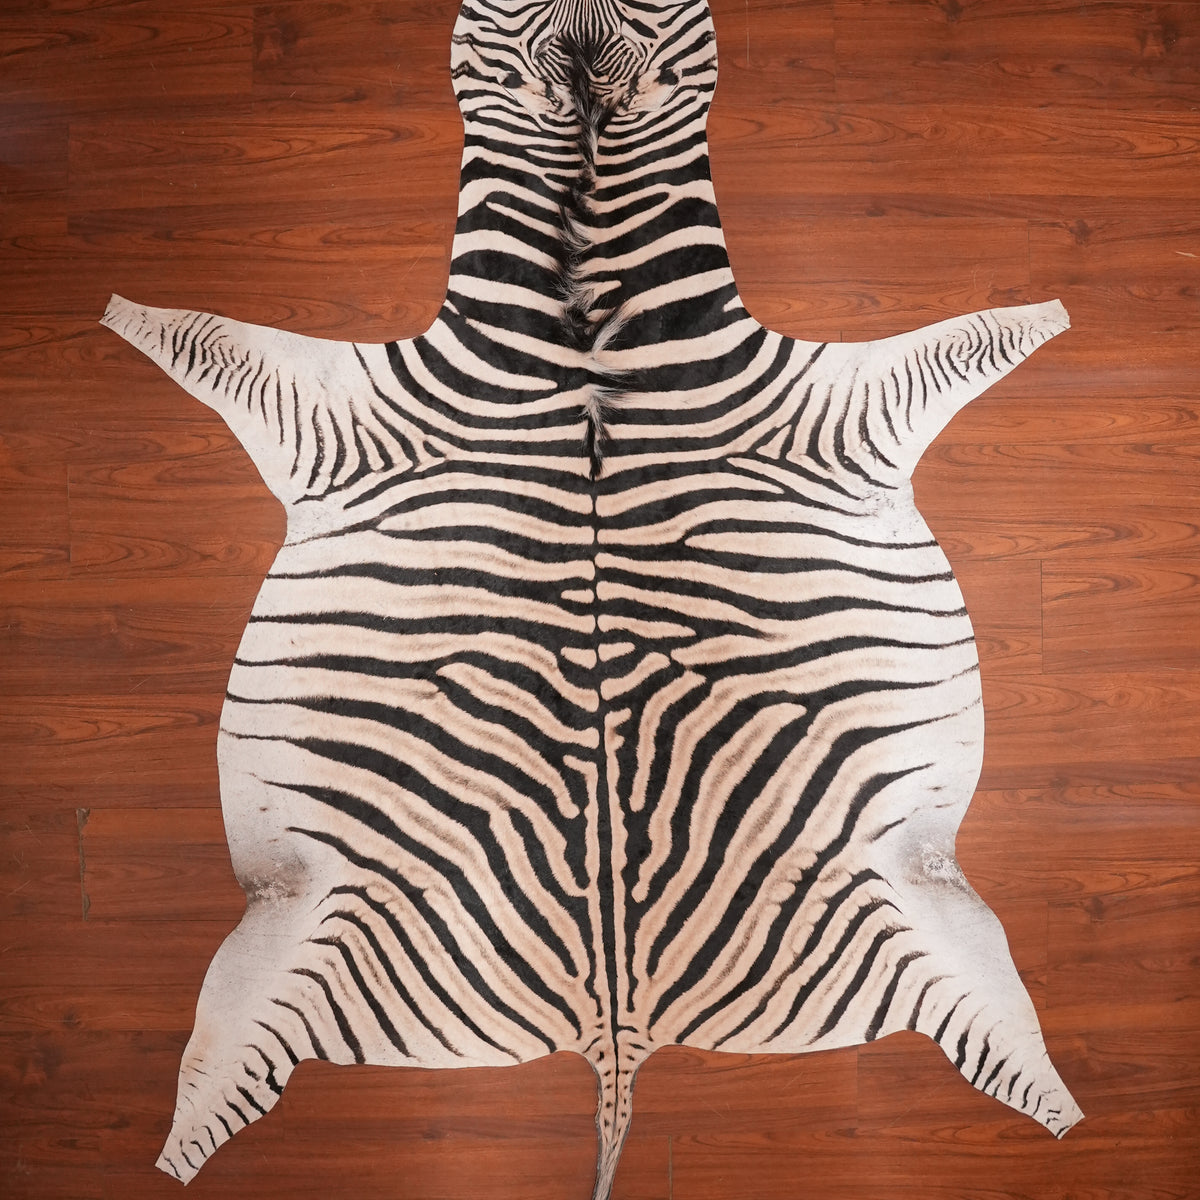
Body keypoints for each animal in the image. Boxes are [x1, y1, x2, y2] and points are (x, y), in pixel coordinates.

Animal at [101, 0, 1082, 1194]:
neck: (587, 330)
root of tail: (616, 1036)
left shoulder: (835, 404)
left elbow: (974, 337)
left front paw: (1050, 309)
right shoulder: (343, 412)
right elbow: (203, 337)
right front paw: (118, 306)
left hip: (903, 895)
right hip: (311, 922)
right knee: (220, 1066)